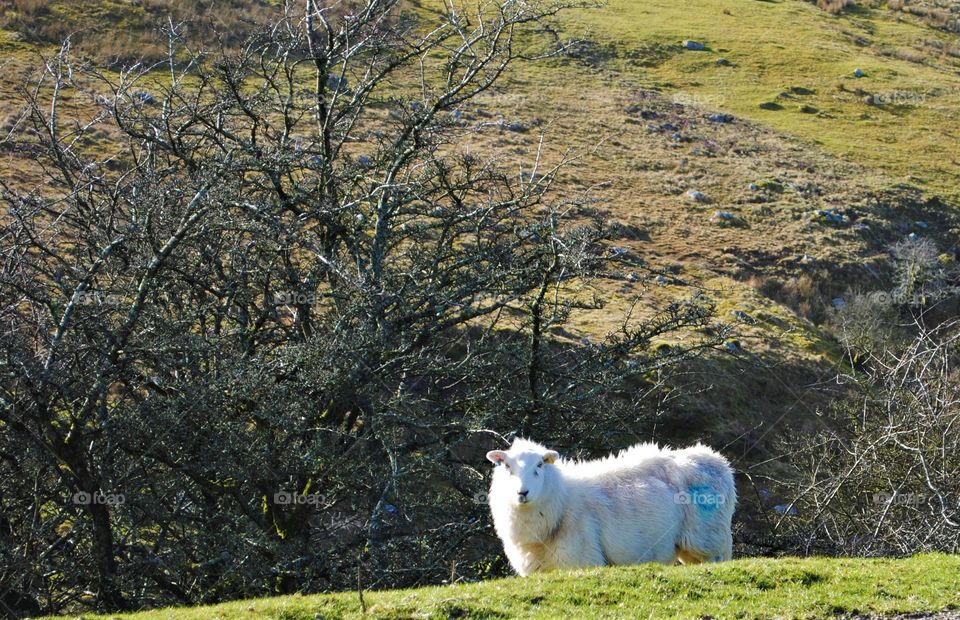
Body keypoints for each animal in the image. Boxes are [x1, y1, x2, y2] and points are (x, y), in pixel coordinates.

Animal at [485, 438, 736, 575]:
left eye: (539, 465)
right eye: (506, 466)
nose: (522, 492)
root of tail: (715, 459)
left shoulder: (584, 560)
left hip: (708, 541)